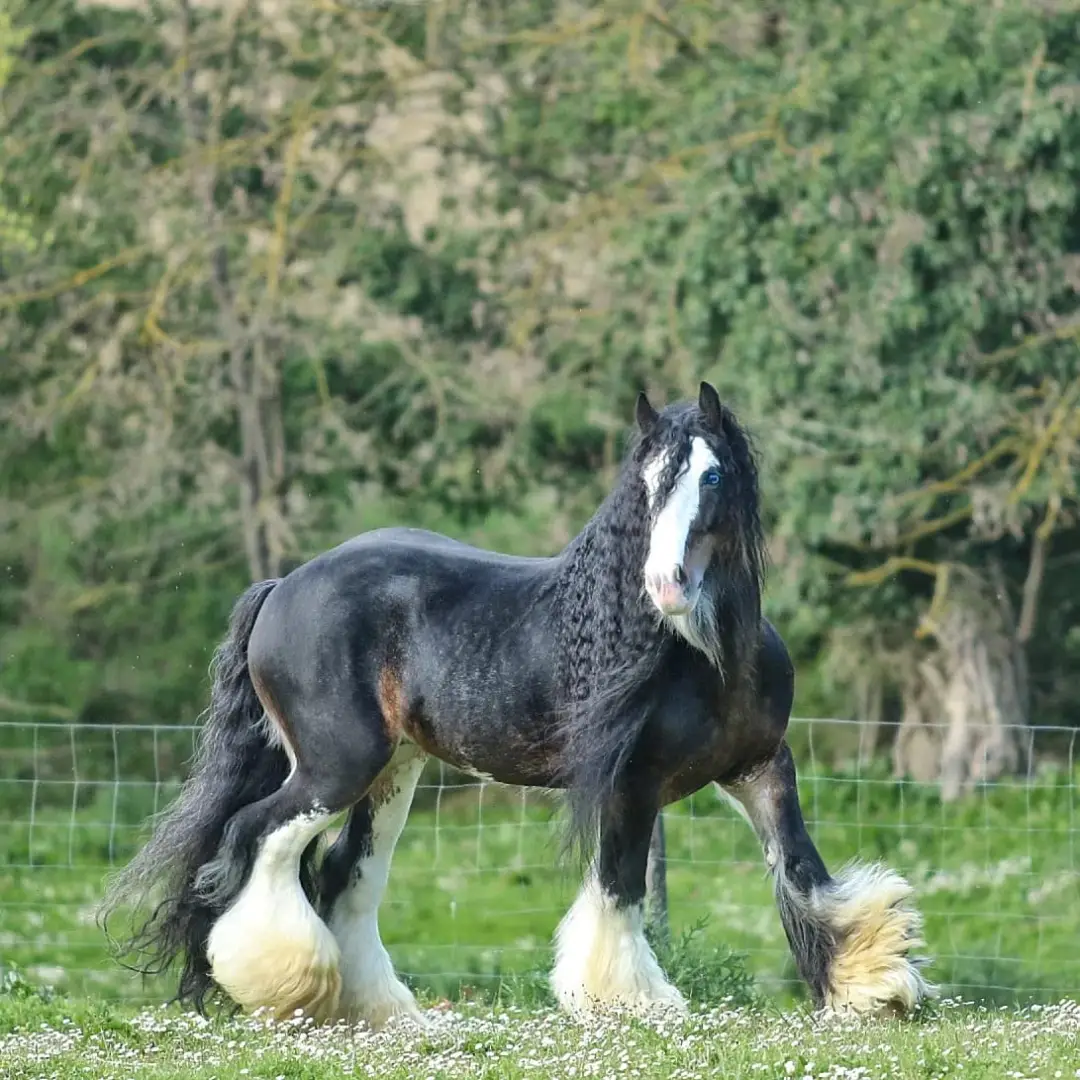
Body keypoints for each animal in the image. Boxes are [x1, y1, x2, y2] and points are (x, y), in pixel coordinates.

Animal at [100, 382, 933, 1029]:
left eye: (714, 476)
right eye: (648, 484)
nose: (665, 585)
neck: (708, 653)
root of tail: (285, 586)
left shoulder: (761, 766)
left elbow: (801, 869)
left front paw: (869, 987)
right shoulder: (631, 783)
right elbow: (619, 887)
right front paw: (631, 1001)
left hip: (394, 772)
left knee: (344, 875)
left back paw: (371, 1009)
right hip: (335, 766)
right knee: (257, 837)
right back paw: (285, 987)